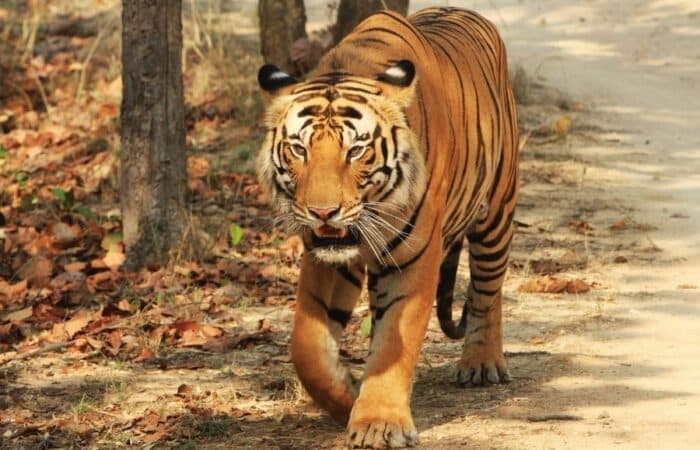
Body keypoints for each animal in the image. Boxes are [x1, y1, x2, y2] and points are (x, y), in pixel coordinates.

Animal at [256, 7, 519, 449]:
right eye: (298, 149)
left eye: (356, 151)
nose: (322, 212)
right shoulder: (326, 259)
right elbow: (307, 346)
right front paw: (346, 397)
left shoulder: (413, 258)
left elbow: (395, 342)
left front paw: (379, 423)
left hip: (497, 209)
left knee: (487, 288)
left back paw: (482, 363)